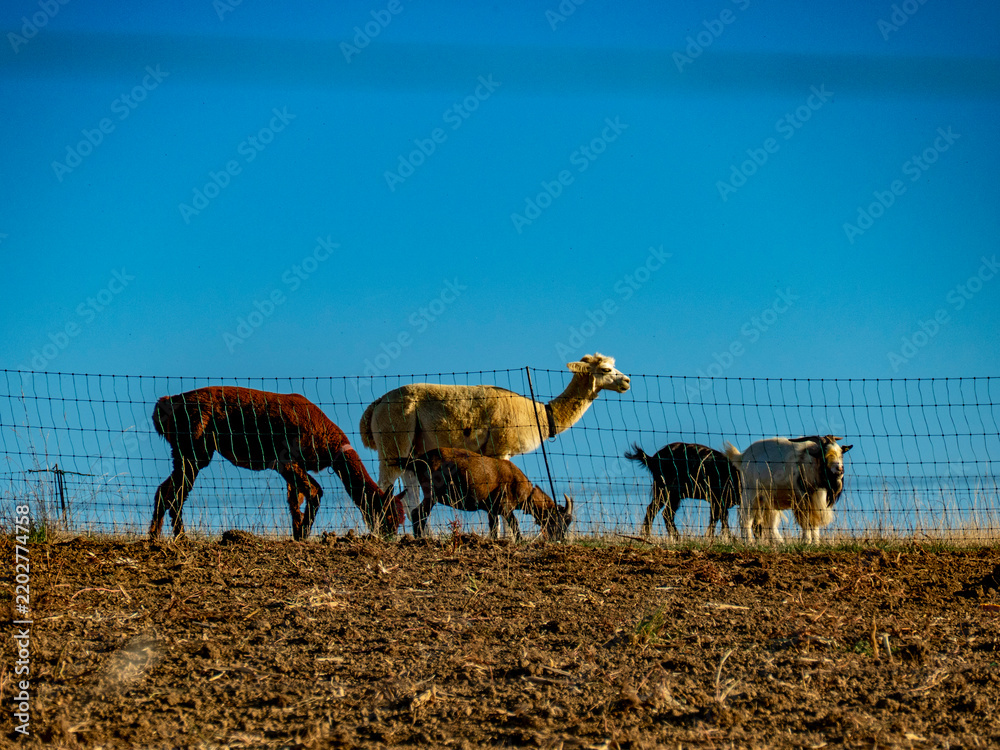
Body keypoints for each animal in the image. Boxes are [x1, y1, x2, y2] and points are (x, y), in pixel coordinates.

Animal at [150, 386, 405, 540]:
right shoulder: (286, 460)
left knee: (164, 491)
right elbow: (315, 492)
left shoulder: (290, 467)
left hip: (185, 452)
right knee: (175, 494)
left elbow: (295, 501)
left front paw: (297, 534)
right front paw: (303, 535)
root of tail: (168, 403)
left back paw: (155, 537)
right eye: (389, 516)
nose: (390, 537)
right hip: (193, 450)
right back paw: (179, 537)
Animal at [392, 447, 573, 541]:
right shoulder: (504, 507)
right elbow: (515, 525)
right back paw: (419, 539)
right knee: (418, 513)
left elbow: (494, 529)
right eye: (558, 519)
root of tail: (419, 460)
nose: (561, 539)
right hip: (432, 493)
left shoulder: (492, 510)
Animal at [724, 435, 853, 543]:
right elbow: (806, 521)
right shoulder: (801, 500)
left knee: (769, 523)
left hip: (768, 500)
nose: (839, 469)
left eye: (841, 454)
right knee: (744, 517)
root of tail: (742, 457)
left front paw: (815, 543)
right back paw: (749, 542)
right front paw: (806, 541)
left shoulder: (815, 501)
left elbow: (814, 523)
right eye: (824, 455)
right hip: (750, 493)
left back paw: (779, 543)